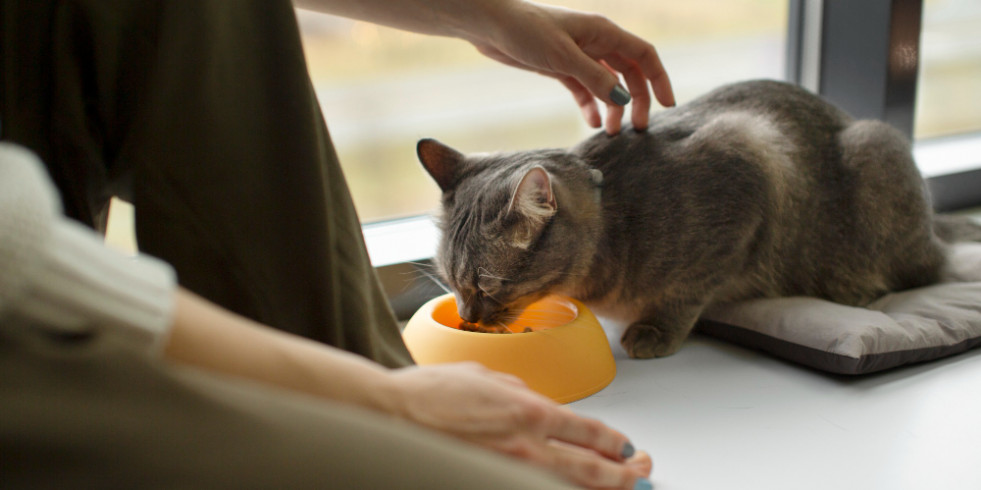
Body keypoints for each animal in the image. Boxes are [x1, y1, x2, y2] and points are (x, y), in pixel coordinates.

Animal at [416, 78, 980, 358]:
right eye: (451, 282)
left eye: (488, 285)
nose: (467, 317)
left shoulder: (749, 164)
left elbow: (688, 291)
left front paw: (654, 331)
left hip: (876, 150)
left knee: (925, 267)